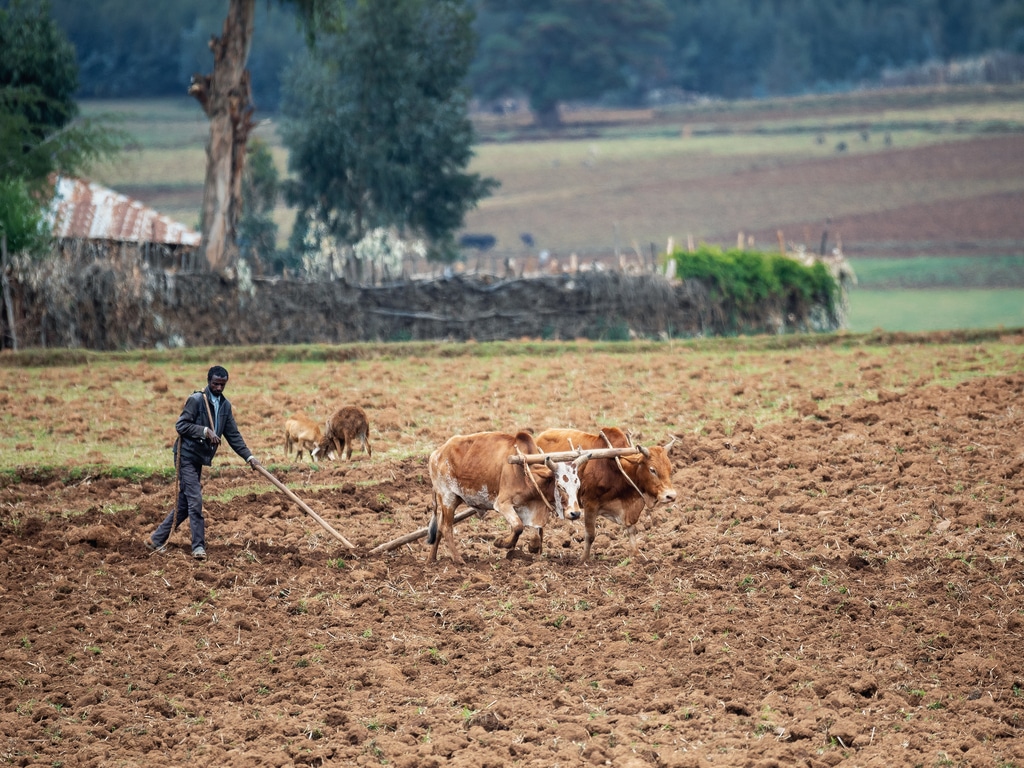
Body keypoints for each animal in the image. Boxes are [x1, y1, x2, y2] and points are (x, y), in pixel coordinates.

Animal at [425, 434, 585, 565]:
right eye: (560, 485)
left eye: (578, 485)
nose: (576, 513)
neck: (525, 474)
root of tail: (436, 453)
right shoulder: (502, 504)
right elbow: (518, 527)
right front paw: (501, 543)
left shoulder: (527, 509)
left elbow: (533, 536)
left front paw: (524, 550)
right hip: (448, 498)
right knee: (446, 528)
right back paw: (458, 560)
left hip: (453, 499)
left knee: (439, 527)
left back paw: (431, 559)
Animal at [532, 430, 675, 561]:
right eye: (652, 470)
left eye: (670, 469)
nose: (671, 496)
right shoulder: (590, 503)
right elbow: (590, 535)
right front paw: (583, 560)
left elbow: (631, 530)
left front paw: (637, 555)